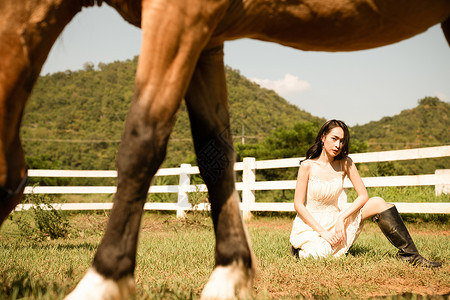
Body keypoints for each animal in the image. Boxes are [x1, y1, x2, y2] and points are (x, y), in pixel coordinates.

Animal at [0, 0, 448, 298]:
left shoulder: (180, 15)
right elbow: (214, 152)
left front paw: (103, 279)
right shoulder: (206, 34)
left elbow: (142, 140)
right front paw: (230, 274)